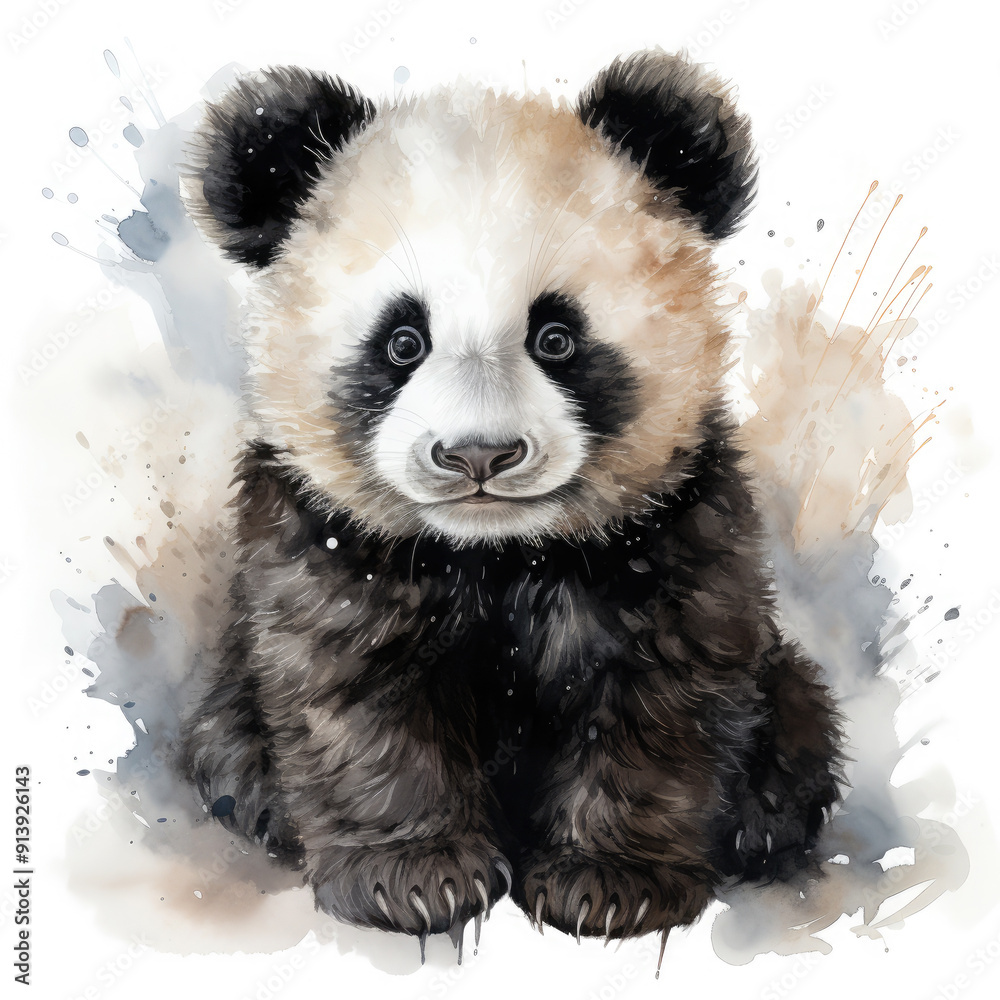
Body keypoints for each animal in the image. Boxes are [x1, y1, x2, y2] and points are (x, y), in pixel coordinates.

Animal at [177, 50, 843, 953]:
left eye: (556, 337)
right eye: (402, 341)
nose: (477, 455)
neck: (497, 555)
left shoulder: (672, 536)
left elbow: (659, 702)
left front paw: (611, 886)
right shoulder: (326, 545)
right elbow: (357, 702)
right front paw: (414, 877)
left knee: (798, 729)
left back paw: (761, 820)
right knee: (230, 746)